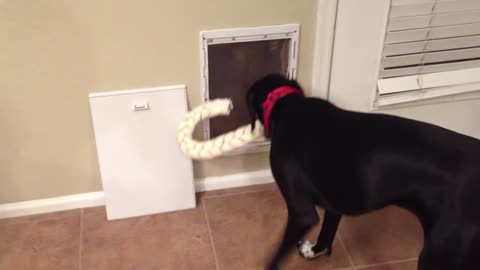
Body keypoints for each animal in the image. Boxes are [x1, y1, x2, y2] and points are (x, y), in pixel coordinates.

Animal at [248, 74, 480, 270]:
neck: (290, 105)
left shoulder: (301, 212)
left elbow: (277, 255)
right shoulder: (334, 203)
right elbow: (326, 235)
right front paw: (313, 251)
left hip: (438, 252)